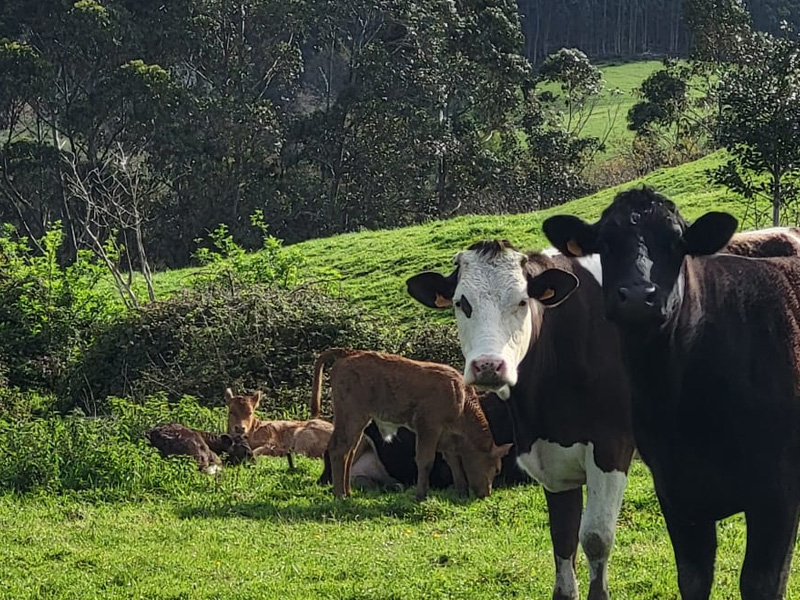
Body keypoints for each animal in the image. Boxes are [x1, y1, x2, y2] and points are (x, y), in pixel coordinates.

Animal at [311, 348, 512, 500]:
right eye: (496, 469)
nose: (486, 494)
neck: (462, 399)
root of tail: (349, 352)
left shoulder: (447, 438)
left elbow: (455, 463)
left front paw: (461, 491)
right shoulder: (428, 427)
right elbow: (425, 461)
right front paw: (421, 495)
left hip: (358, 420)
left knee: (349, 451)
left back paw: (348, 492)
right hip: (351, 415)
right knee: (338, 449)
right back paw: (340, 495)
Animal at [407, 240, 632, 600]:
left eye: (522, 301)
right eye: (461, 303)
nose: (488, 365)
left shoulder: (612, 446)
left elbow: (596, 538)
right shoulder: (551, 457)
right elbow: (562, 538)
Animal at [542, 186, 800, 600]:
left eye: (677, 242)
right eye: (605, 243)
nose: (637, 296)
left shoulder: (778, 491)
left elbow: (760, 583)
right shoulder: (674, 490)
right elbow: (693, 578)